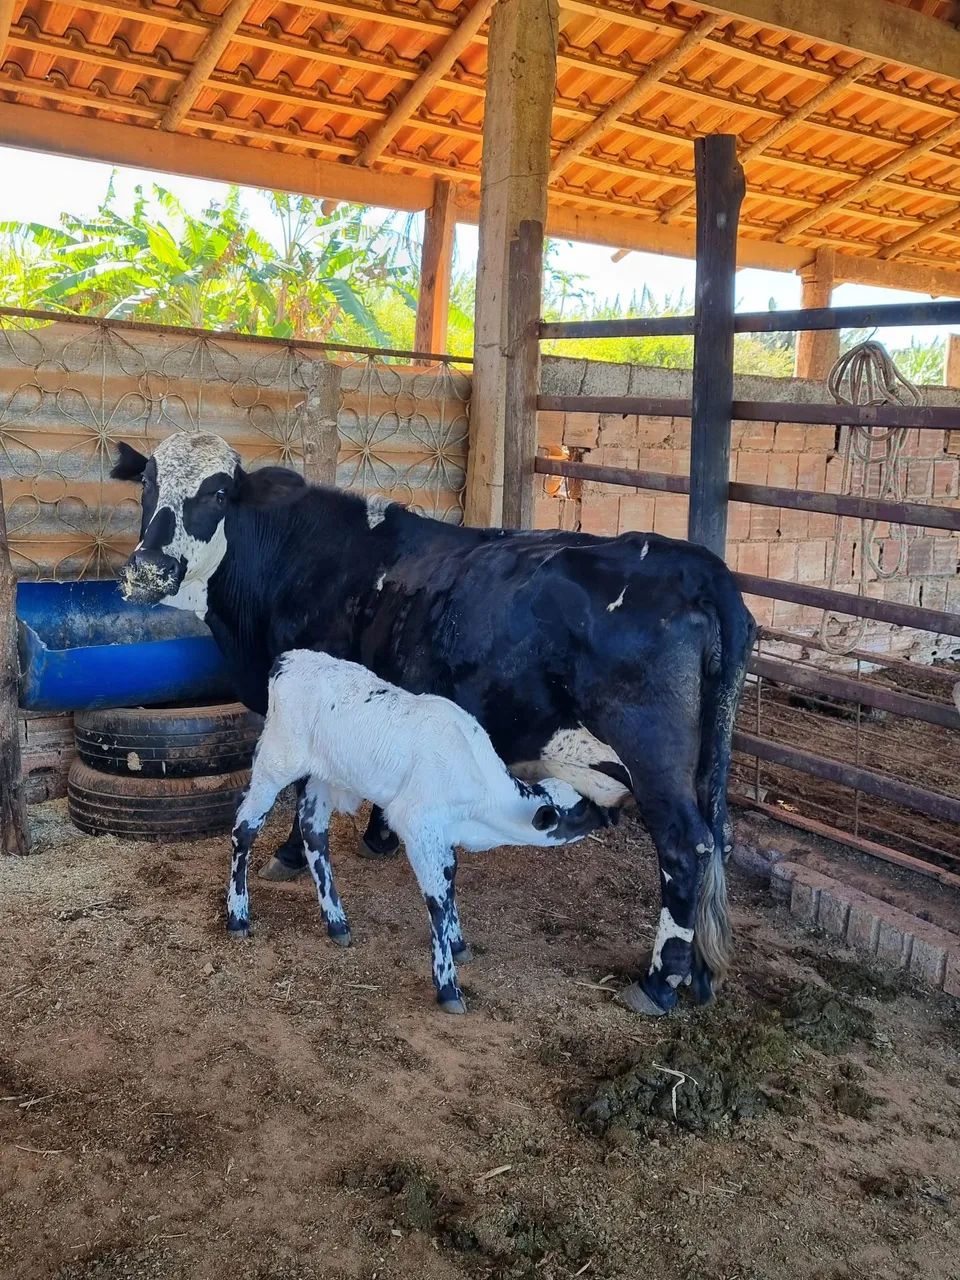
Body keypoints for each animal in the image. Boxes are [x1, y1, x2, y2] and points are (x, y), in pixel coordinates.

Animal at [228, 649, 614, 1012]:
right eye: (580, 810)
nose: (610, 816)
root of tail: (289, 659)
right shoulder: (417, 824)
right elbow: (438, 900)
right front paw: (447, 987)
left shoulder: (443, 833)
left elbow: (450, 881)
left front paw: (458, 944)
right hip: (275, 763)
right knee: (243, 830)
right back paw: (237, 916)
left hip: (322, 777)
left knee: (314, 835)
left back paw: (336, 923)